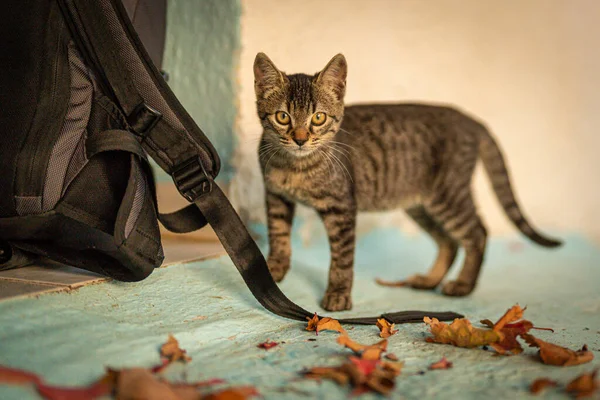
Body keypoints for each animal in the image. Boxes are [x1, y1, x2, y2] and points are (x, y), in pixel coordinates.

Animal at [254, 51, 564, 310]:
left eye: (318, 118)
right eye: (283, 116)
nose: (300, 139)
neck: (295, 166)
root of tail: (471, 120)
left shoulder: (341, 207)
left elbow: (342, 258)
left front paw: (338, 294)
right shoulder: (275, 196)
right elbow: (278, 236)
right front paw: (273, 270)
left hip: (448, 194)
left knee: (477, 232)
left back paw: (463, 285)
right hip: (420, 205)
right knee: (449, 242)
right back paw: (429, 280)